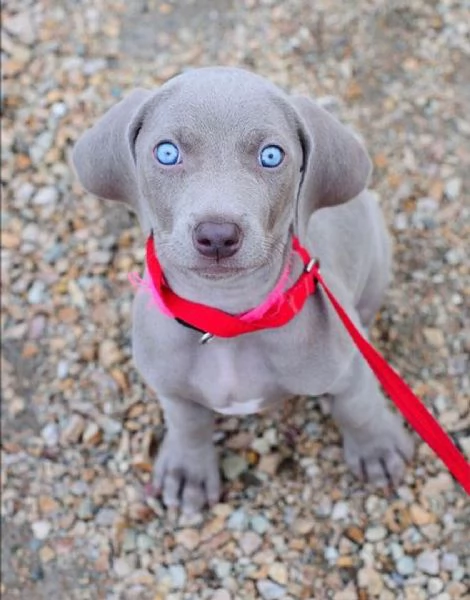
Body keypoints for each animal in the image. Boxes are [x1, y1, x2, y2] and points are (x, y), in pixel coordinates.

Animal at [71, 67, 414, 516]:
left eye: (271, 156)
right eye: (167, 153)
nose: (217, 235)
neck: (228, 318)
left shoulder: (348, 366)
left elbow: (358, 406)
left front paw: (377, 449)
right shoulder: (170, 385)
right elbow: (188, 423)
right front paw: (188, 472)